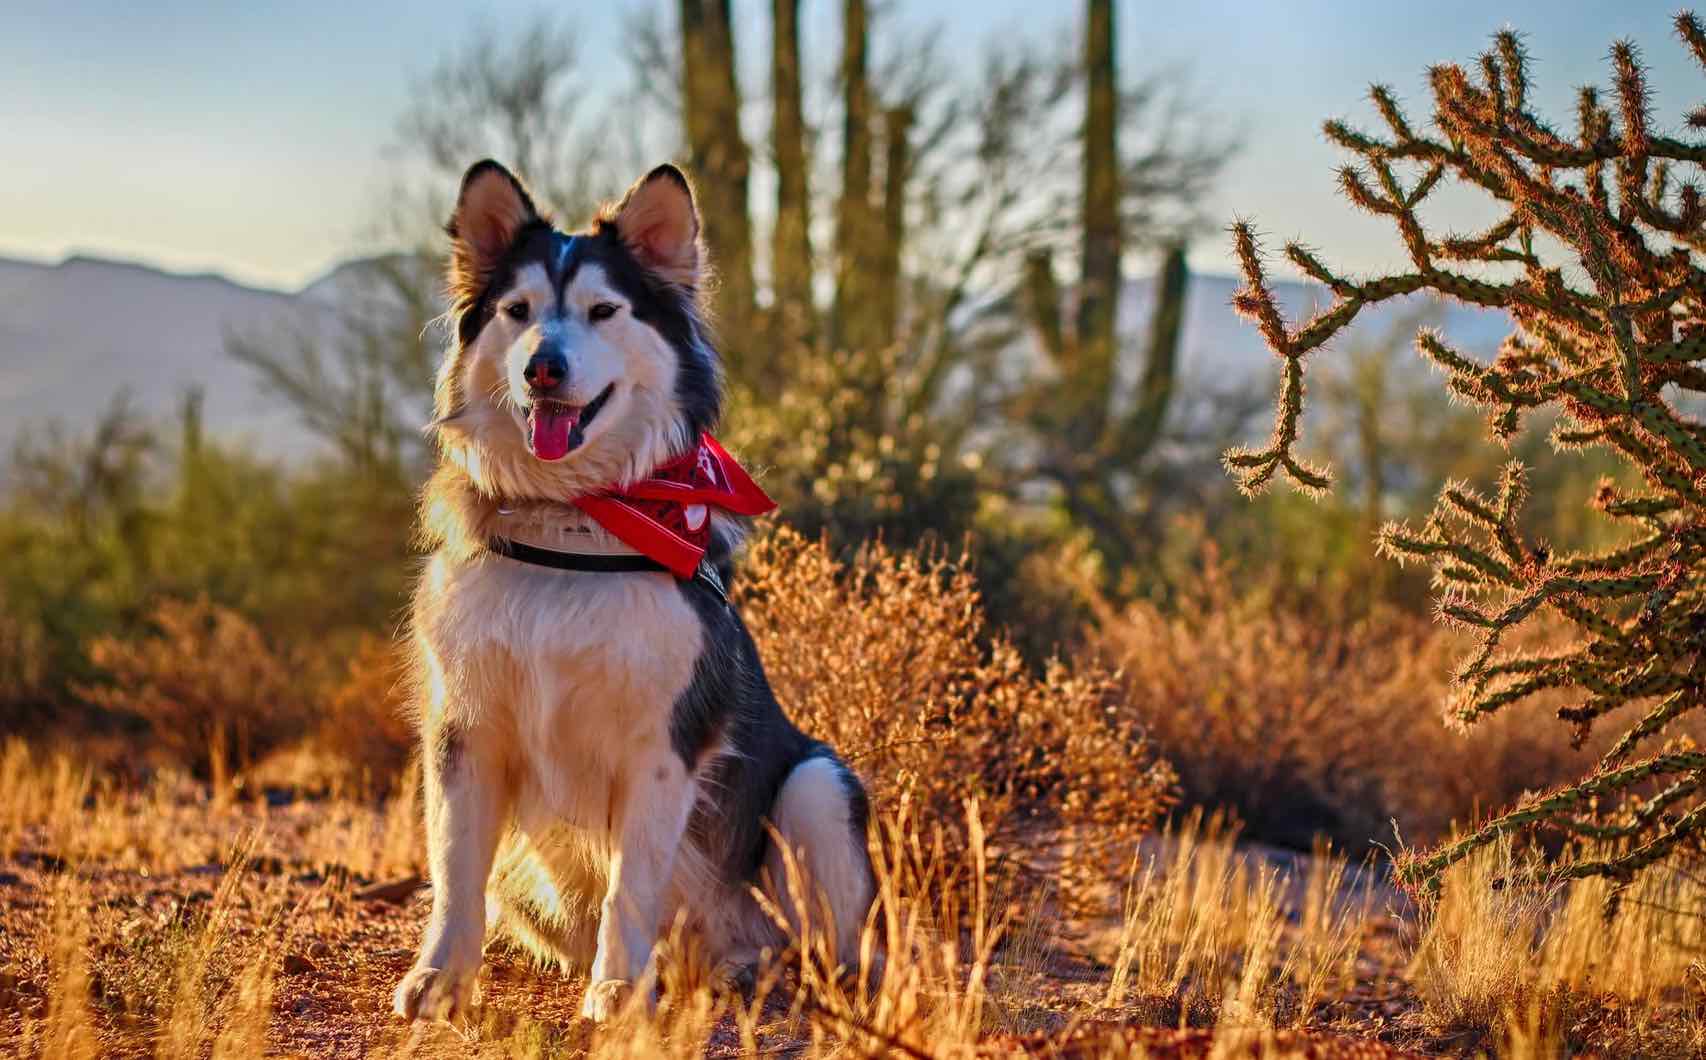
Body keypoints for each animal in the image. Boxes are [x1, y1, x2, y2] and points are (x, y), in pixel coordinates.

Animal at [395, 158, 880, 1024]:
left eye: (603, 311)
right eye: (518, 311)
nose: (543, 367)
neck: (569, 522)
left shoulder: (660, 749)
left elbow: (630, 888)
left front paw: (618, 992)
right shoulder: (464, 731)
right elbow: (454, 871)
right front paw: (440, 979)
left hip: (818, 788)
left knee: (821, 945)